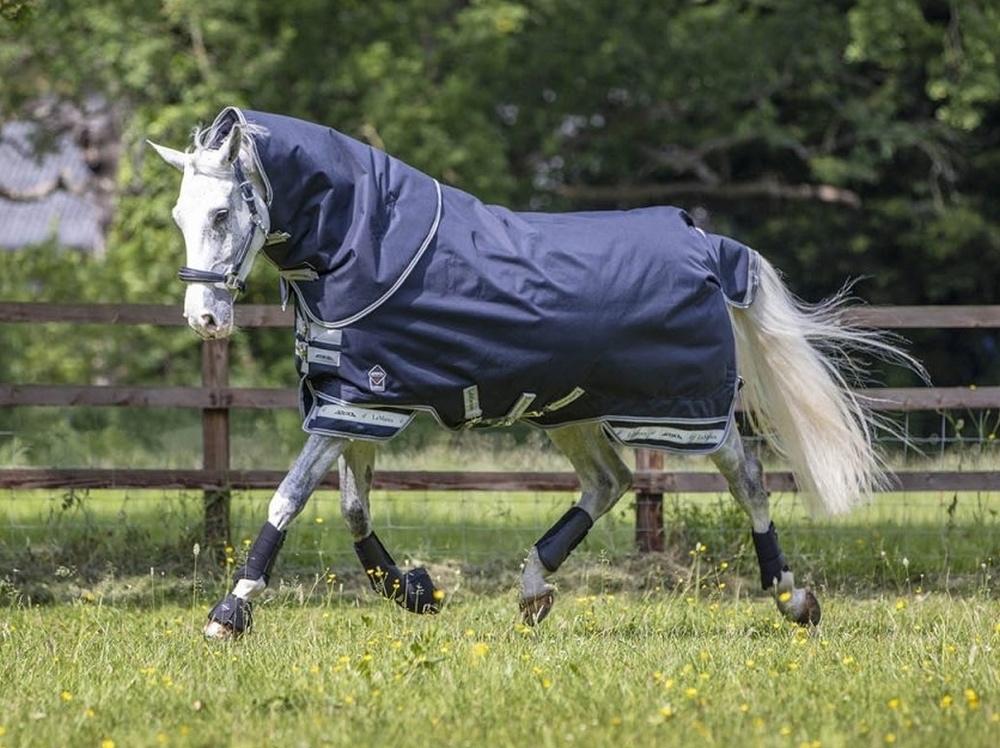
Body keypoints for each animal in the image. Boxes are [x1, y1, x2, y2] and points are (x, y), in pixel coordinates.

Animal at [149, 107, 911, 639]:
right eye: (181, 215)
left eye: (222, 212)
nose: (204, 319)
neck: (365, 244)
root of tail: (707, 242)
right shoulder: (357, 401)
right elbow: (352, 507)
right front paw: (415, 592)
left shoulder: (361, 405)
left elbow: (287, 497)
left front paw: (230, 612)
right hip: (569, 409)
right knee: (609, 483)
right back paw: (533, 590)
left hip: (680, 410)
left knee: (745, 476)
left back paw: (792, 597)